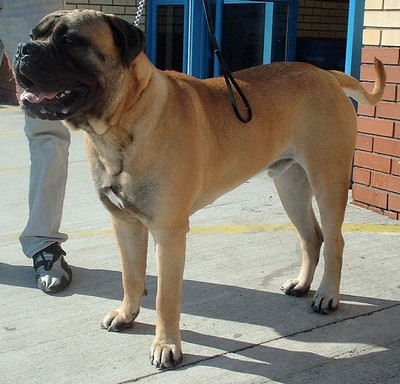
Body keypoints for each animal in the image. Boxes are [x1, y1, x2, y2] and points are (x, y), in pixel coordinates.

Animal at [14, 9, 386, 368]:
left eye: (69, 40)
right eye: (34, 34)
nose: (21, 50)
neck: (121, 123)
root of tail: (327, 74)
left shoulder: (168, 232)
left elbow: (165, 297)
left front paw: (166, 346)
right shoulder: (125, 224)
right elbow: (130, 276)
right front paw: (126, 315)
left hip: (328, 180)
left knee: (335, 240)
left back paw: (327, 295)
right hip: (290, 186)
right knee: (312, 237)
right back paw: (302, 284)